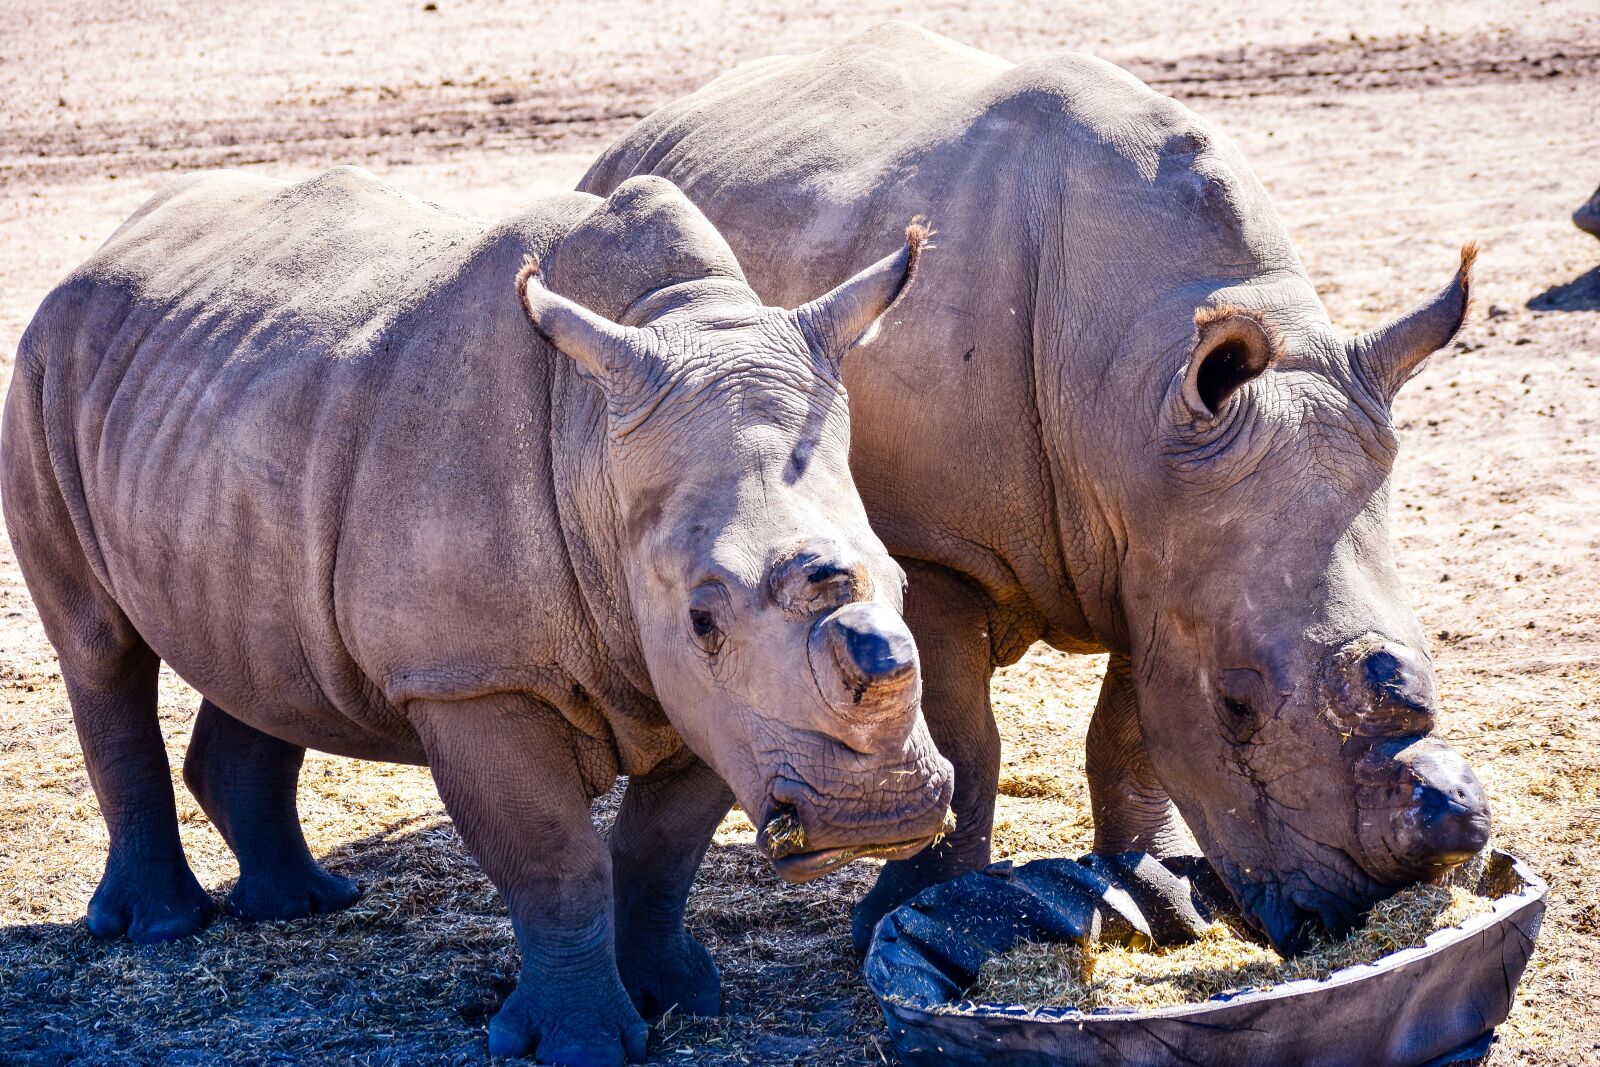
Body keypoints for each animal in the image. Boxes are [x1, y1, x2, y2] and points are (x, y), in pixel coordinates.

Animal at [1, 168, 955, 1065]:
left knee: (258, 651)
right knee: (99, 649)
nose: (882, 812)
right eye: (703, 619)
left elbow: (661, 848)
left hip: (221, 404)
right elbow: (553, 857)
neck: (597, 443)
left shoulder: (722, 705)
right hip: (44, 366)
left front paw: (677, 999)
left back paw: (303, 905)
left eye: (903, 583)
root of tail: (101, 252)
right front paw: (580, 1045)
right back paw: (162, 926)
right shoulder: (473, 678)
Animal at [583, 22, 1492, 956]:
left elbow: (1129, 731)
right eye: (1238, 705)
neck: (1136, 403)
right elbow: (962, 732)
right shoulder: (932, 545)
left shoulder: (1162, 545)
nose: (1354, 913)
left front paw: (1160, 895)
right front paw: (917, 905)